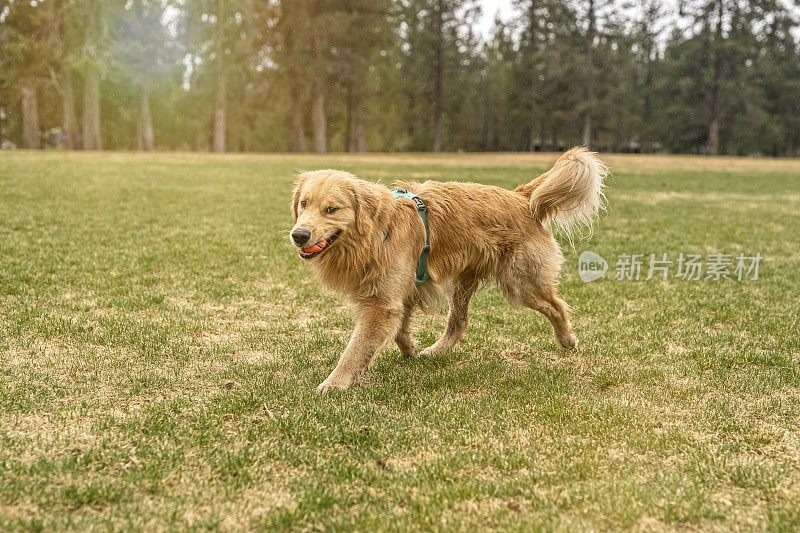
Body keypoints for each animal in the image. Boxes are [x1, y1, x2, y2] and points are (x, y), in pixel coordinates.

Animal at [290, 148, 608, 388]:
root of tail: (521, 198)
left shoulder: (382, 305)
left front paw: (334, 383)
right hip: (465, 281)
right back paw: (435, 351)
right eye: (304, 204)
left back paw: (567, 339)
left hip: (520, 282)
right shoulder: (402, 290)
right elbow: (400, 329)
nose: (299, 235)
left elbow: (355, 350)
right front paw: (409, 349)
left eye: (331, 209)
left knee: (557, 306)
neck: (378, 231)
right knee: (459, 322)